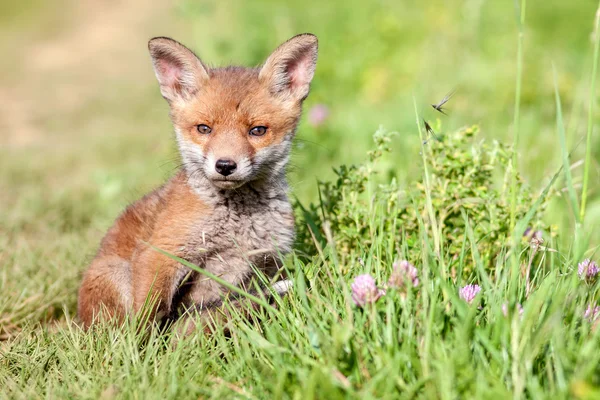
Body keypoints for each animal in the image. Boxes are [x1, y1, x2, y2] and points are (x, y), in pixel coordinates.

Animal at [78, 34, 318, 330]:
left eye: (257, 130)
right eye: (204, 128)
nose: (225, 165)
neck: (238, 225)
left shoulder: (268, 261)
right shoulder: (160, 253)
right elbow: (148, 317)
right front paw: (144, 344)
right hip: (115, 273)